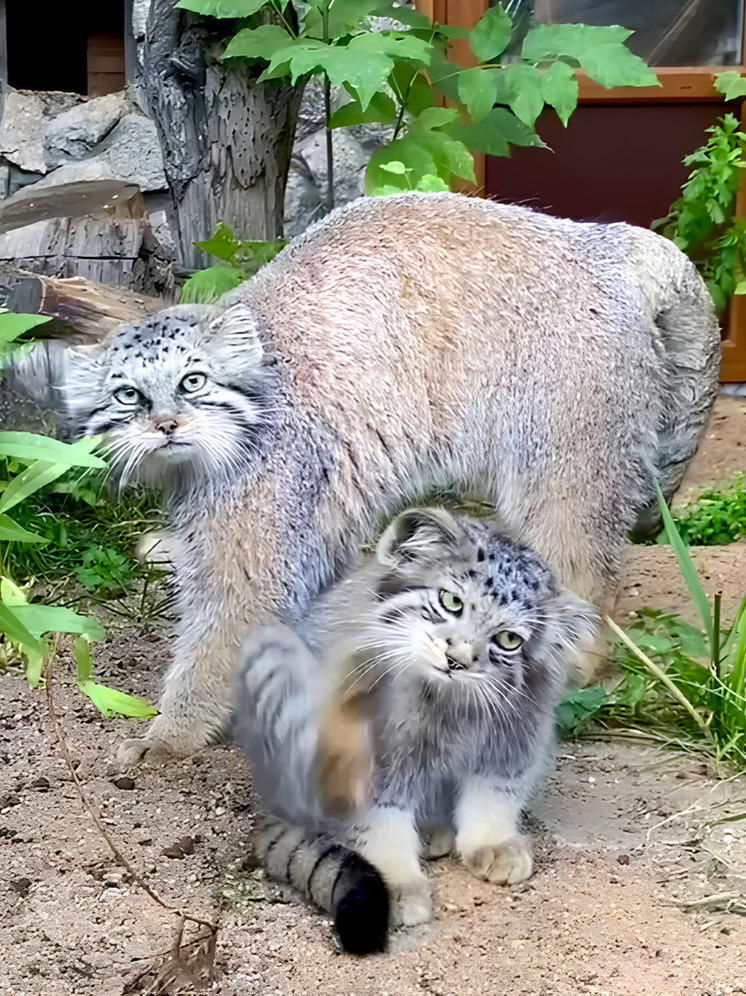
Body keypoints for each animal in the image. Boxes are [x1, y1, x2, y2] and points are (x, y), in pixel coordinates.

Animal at [232, 510, 592, 952]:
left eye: (508, 639)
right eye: (451, 602)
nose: (457, 659)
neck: (447, 703)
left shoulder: (516, 733)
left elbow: (492, 794)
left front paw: (491, 841)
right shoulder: (364, 759)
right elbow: (379, 824)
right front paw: (397, 881)